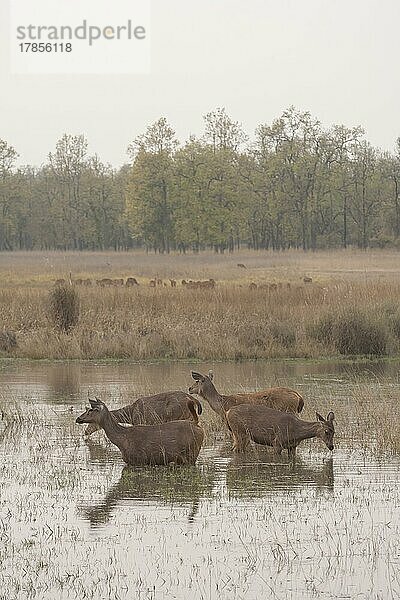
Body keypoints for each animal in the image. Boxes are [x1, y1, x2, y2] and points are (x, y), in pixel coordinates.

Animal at [77, 398, 205, 468]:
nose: (78, 418)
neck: (121, 440)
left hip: (191, 453)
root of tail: (196, 423)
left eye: (91, 410)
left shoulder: (139, 461)